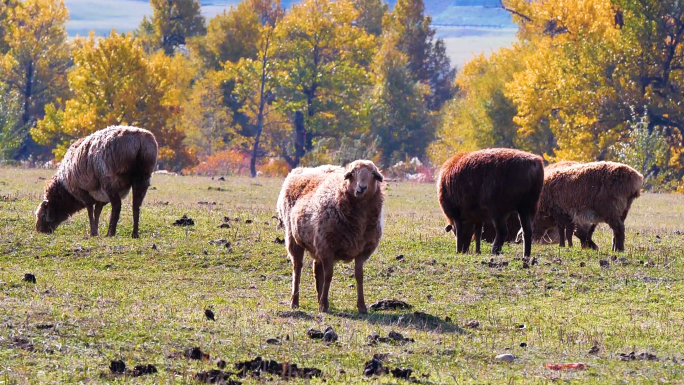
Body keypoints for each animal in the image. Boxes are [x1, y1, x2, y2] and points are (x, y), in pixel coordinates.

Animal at [276, 159, 384, 312]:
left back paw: (318, 298)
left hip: (316, 242)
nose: (361, 188)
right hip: (293, 237)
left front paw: (362, 307)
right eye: (352, 174)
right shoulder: (327, 247)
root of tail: (298, 170)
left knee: (316, 269)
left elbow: (359, 276)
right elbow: (328, 275)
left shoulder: (362, 251)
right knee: (297, 268)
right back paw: (295, 301)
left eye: (373, 174)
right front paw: (323, 305)